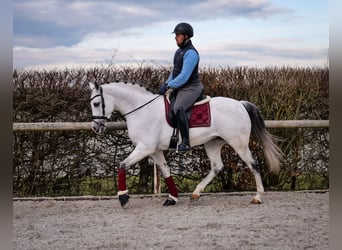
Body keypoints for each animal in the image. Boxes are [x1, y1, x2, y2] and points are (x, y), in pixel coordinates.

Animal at [88, 80, 280, 207]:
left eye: (96, 103)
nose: (95, 128)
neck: (142, 110)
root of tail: (240, 104)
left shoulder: (144, 148)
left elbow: (122, 165)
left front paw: (123, 197)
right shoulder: (154, 150)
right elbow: (166, 170)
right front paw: (172, 198)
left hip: (238, 143)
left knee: (253, 164)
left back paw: (258, 197)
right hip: (212, 144)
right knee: (217, 167)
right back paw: (196, 193)